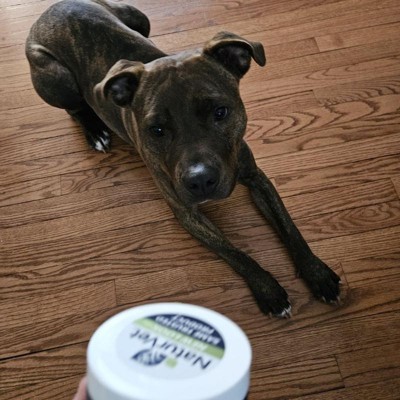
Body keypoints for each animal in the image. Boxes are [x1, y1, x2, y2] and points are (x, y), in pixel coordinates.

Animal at [26, 0, 340, 317]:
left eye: (220, 112)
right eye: (156, 130)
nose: (200, 180)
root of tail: (54, 8)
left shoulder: (257, 178)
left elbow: (289, 227)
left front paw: (318, 274)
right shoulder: (186, 211)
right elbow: (233, 252)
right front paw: (268, 290)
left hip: (138, 16)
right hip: (58, 79)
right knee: (75, 108)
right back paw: (95, 131)